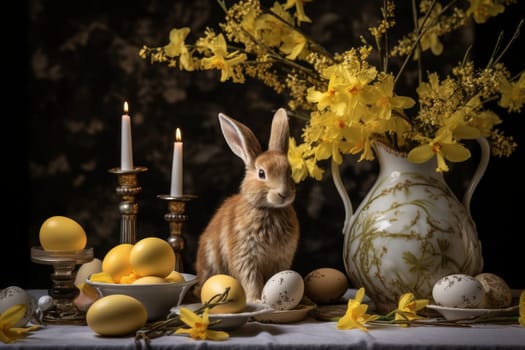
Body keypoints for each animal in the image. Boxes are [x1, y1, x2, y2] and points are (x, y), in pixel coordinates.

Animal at [193, 108, 300, 302]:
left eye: (289, 171)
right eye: (261, 173)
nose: (284, 194)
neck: (269, 210)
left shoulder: (281, 259)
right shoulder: (246, 256)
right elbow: (250, 279)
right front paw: (256, 300)